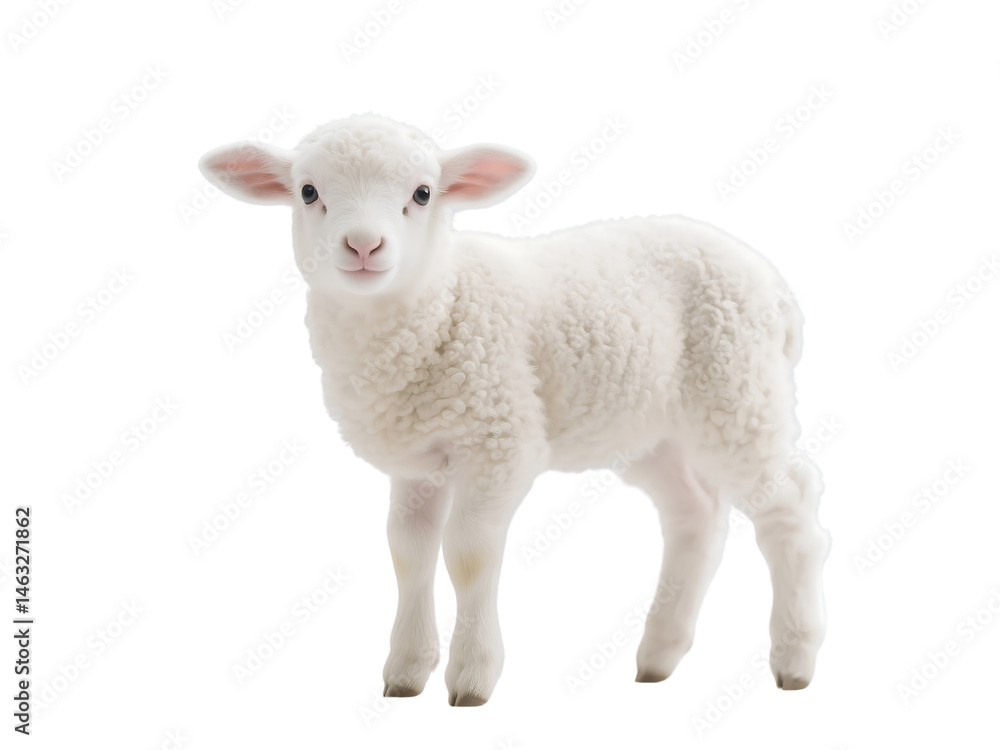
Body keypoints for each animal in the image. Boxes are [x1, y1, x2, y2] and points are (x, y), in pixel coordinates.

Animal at [198, 113, 831, 706]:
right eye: (308, 191)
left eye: (423, 193)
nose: (362, 246)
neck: (440, 300)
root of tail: (778, 290)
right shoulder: (416, 461)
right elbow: (408, 552)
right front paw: (405, 671)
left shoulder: (500, 438)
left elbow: (468, 554)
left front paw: (472, 677)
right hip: (649, 429)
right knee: (694, 514)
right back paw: (658, 656)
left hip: (739, 390)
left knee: (790, 509)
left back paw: (795, 658)